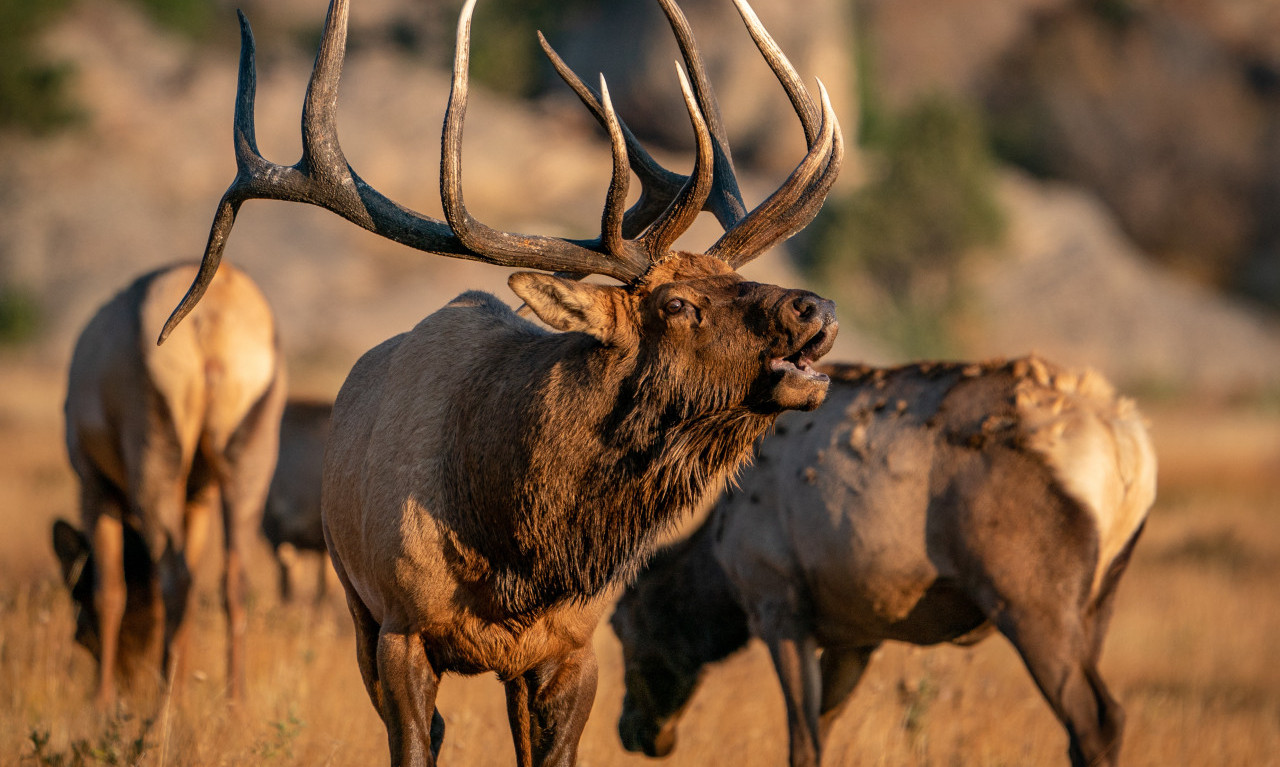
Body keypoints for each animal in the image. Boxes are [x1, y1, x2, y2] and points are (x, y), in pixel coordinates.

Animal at [51, 263, 285, 706]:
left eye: (77, 602)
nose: (128, 678)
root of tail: (214, 315)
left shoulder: (93, 485)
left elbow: (111, 590)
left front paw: (101, 701)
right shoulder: (197, 497)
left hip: (155, 456)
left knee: (177, 579)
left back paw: (163, 707)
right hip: (249, 459)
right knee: (231, 580)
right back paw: (234, 705)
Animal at [611, 358, 1162, 767]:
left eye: (621, 627)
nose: (632, 730)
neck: (719, 564)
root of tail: (1127, 443)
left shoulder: (777, 605)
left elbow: (802, 743)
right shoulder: (857, 634)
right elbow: (823, 730)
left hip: (1029, 599)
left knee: (1097, 719)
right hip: (1099, 600)